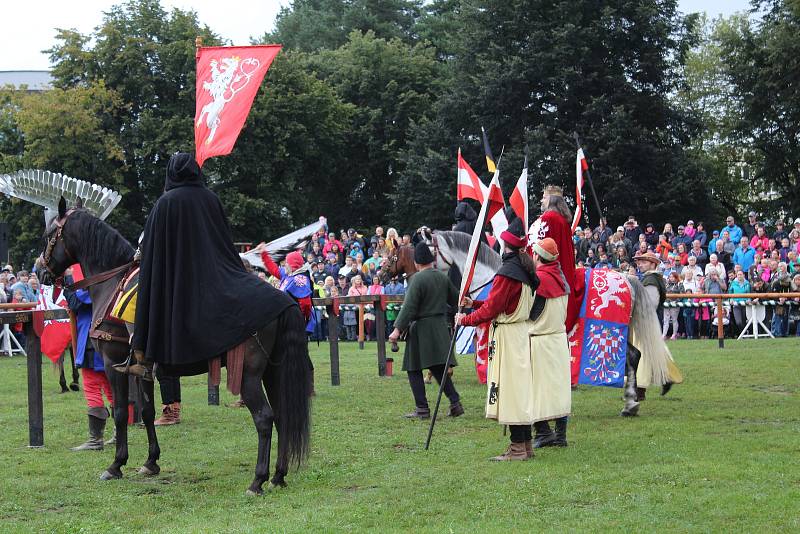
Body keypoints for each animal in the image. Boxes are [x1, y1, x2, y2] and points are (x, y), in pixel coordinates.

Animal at [39, 199, 310, 496]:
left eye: (49, 236)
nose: (40, 271)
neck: (110, 285)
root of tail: (284, 300)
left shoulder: (113, 364)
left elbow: (120, 413)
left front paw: (116, 465)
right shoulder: (141, 369)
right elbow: (147, 412)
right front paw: (150, 462)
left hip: (248, 375)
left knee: (264, 418)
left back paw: (258, 480)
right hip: (273, 371)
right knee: (283, 416)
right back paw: (278, 475)